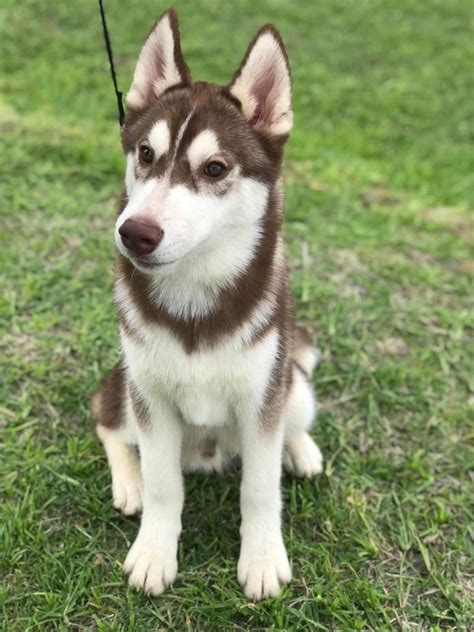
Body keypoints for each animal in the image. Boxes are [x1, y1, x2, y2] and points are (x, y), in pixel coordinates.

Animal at [92, 9, 322, 604]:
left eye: (215, 168)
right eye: (145, 155)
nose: (134, 233)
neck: (194, 294)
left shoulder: (262, 399)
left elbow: (261, 489)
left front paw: (262, 558)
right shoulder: (150, 398)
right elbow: (163, 485)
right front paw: (154, 552)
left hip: (292, 385)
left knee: (295, 416)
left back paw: (301, 450)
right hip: (126, 386)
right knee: (106, 418)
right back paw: (127, 481)